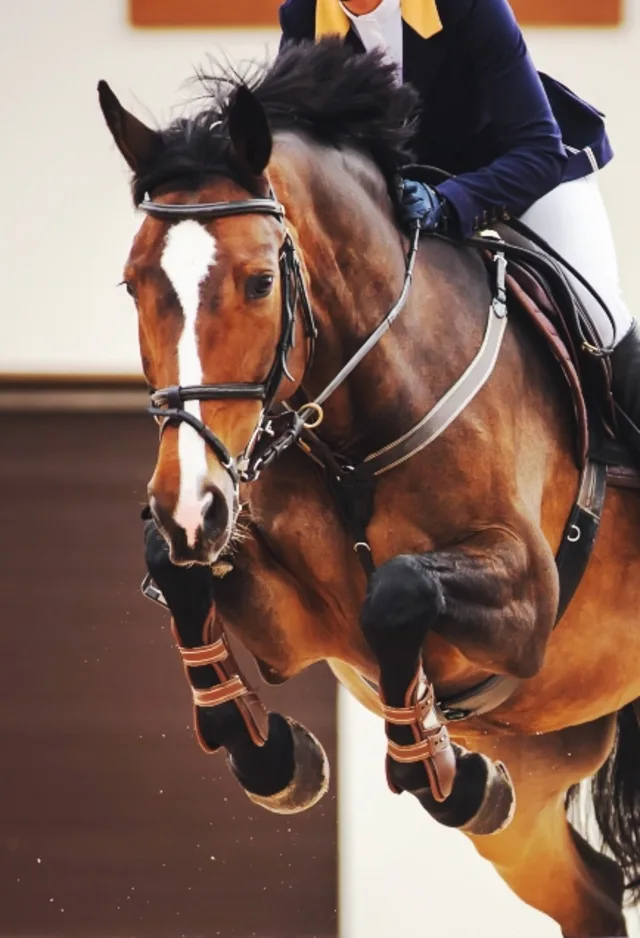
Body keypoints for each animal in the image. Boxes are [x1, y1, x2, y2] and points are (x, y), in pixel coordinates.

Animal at [97, 40, 640, 932]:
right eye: (134, 282)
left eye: (259, 282)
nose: (190, 505)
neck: (350, 425)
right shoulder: (291, 626)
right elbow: (175, 571)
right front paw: (276, 759)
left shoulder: (531, 593)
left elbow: (399, 591)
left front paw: (443, 772)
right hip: (538, 778)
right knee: (590, 893)